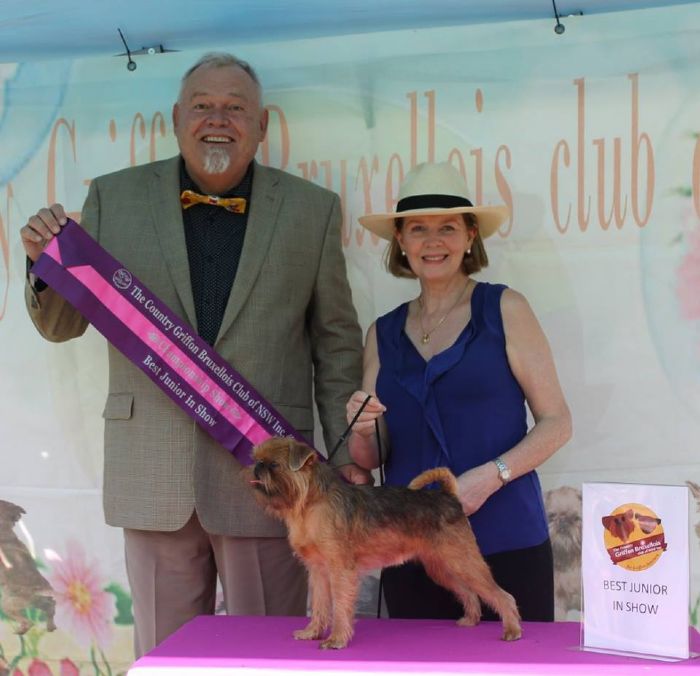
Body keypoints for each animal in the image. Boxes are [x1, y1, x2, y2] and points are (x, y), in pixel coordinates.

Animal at [0, 500, 56, 634]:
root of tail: (40, 590)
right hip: (40, 602)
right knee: (51, 606)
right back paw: (50, 626)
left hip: (8, 605)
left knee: (28, 622)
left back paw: (21, 630)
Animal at [248, 437, 521, 649]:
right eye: (257, 459)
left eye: (274, 464)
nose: (257, 468)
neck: (308, 505)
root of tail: (448, 496)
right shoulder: (318, 571)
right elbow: (320, 604)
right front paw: (312, 632)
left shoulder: (340, 570)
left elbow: (340, 606)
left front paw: (336, 639)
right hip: (442, 567)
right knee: (468, 592)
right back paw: (471, 620)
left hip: (463, 560)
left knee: (501, 594)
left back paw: (512, 630)